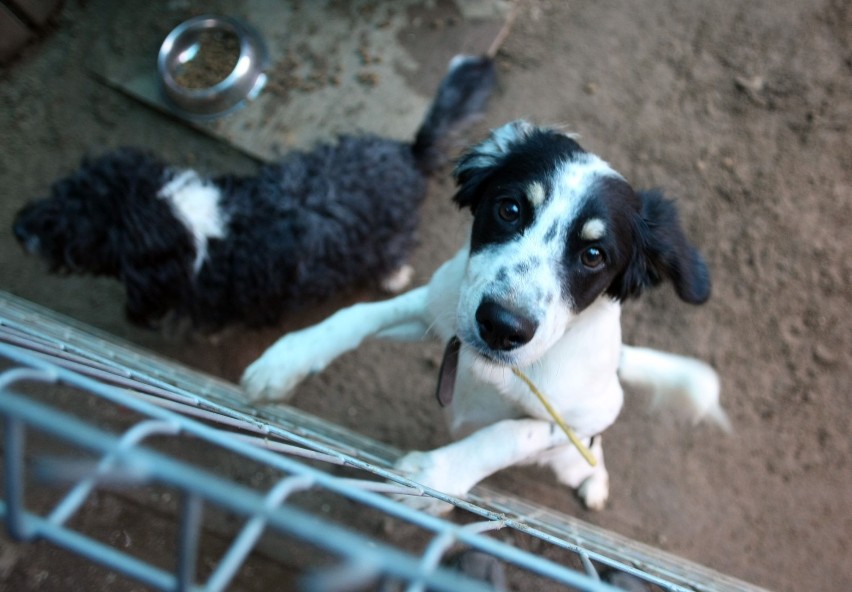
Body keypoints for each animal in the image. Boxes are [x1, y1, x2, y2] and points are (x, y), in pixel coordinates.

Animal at [13, 56, 496, 328]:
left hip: (387, 237)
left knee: (394, 253)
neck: (189, 225)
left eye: (82, 231)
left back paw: (391, 275)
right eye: (63, 188)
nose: (19, 229)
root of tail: (407, 153)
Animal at [243, 120, 728, 512]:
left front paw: (431, 477)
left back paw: (595, 483)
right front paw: (285, 361)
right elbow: (357, 313)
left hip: (581, 441)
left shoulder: (581, 420)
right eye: (509, 209)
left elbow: (509, 435)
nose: (501, 327)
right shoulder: (439, 313)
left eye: (593, 255)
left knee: (592, 457)